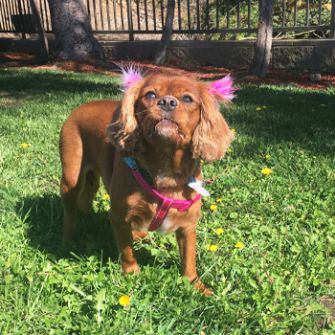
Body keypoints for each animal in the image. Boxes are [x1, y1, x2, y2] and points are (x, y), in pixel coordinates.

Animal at [59, 69, 235, 296]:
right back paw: (68, 240)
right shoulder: (119, 217)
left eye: (187, 98)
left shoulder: (188, 225)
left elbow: (189, 259)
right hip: (71, 179)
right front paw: (131, 273)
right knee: (70, 213)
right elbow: (126, 250)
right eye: (150, 95)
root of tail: (82, 106)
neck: (165, 169)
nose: (167, 102)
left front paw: (196, 285)